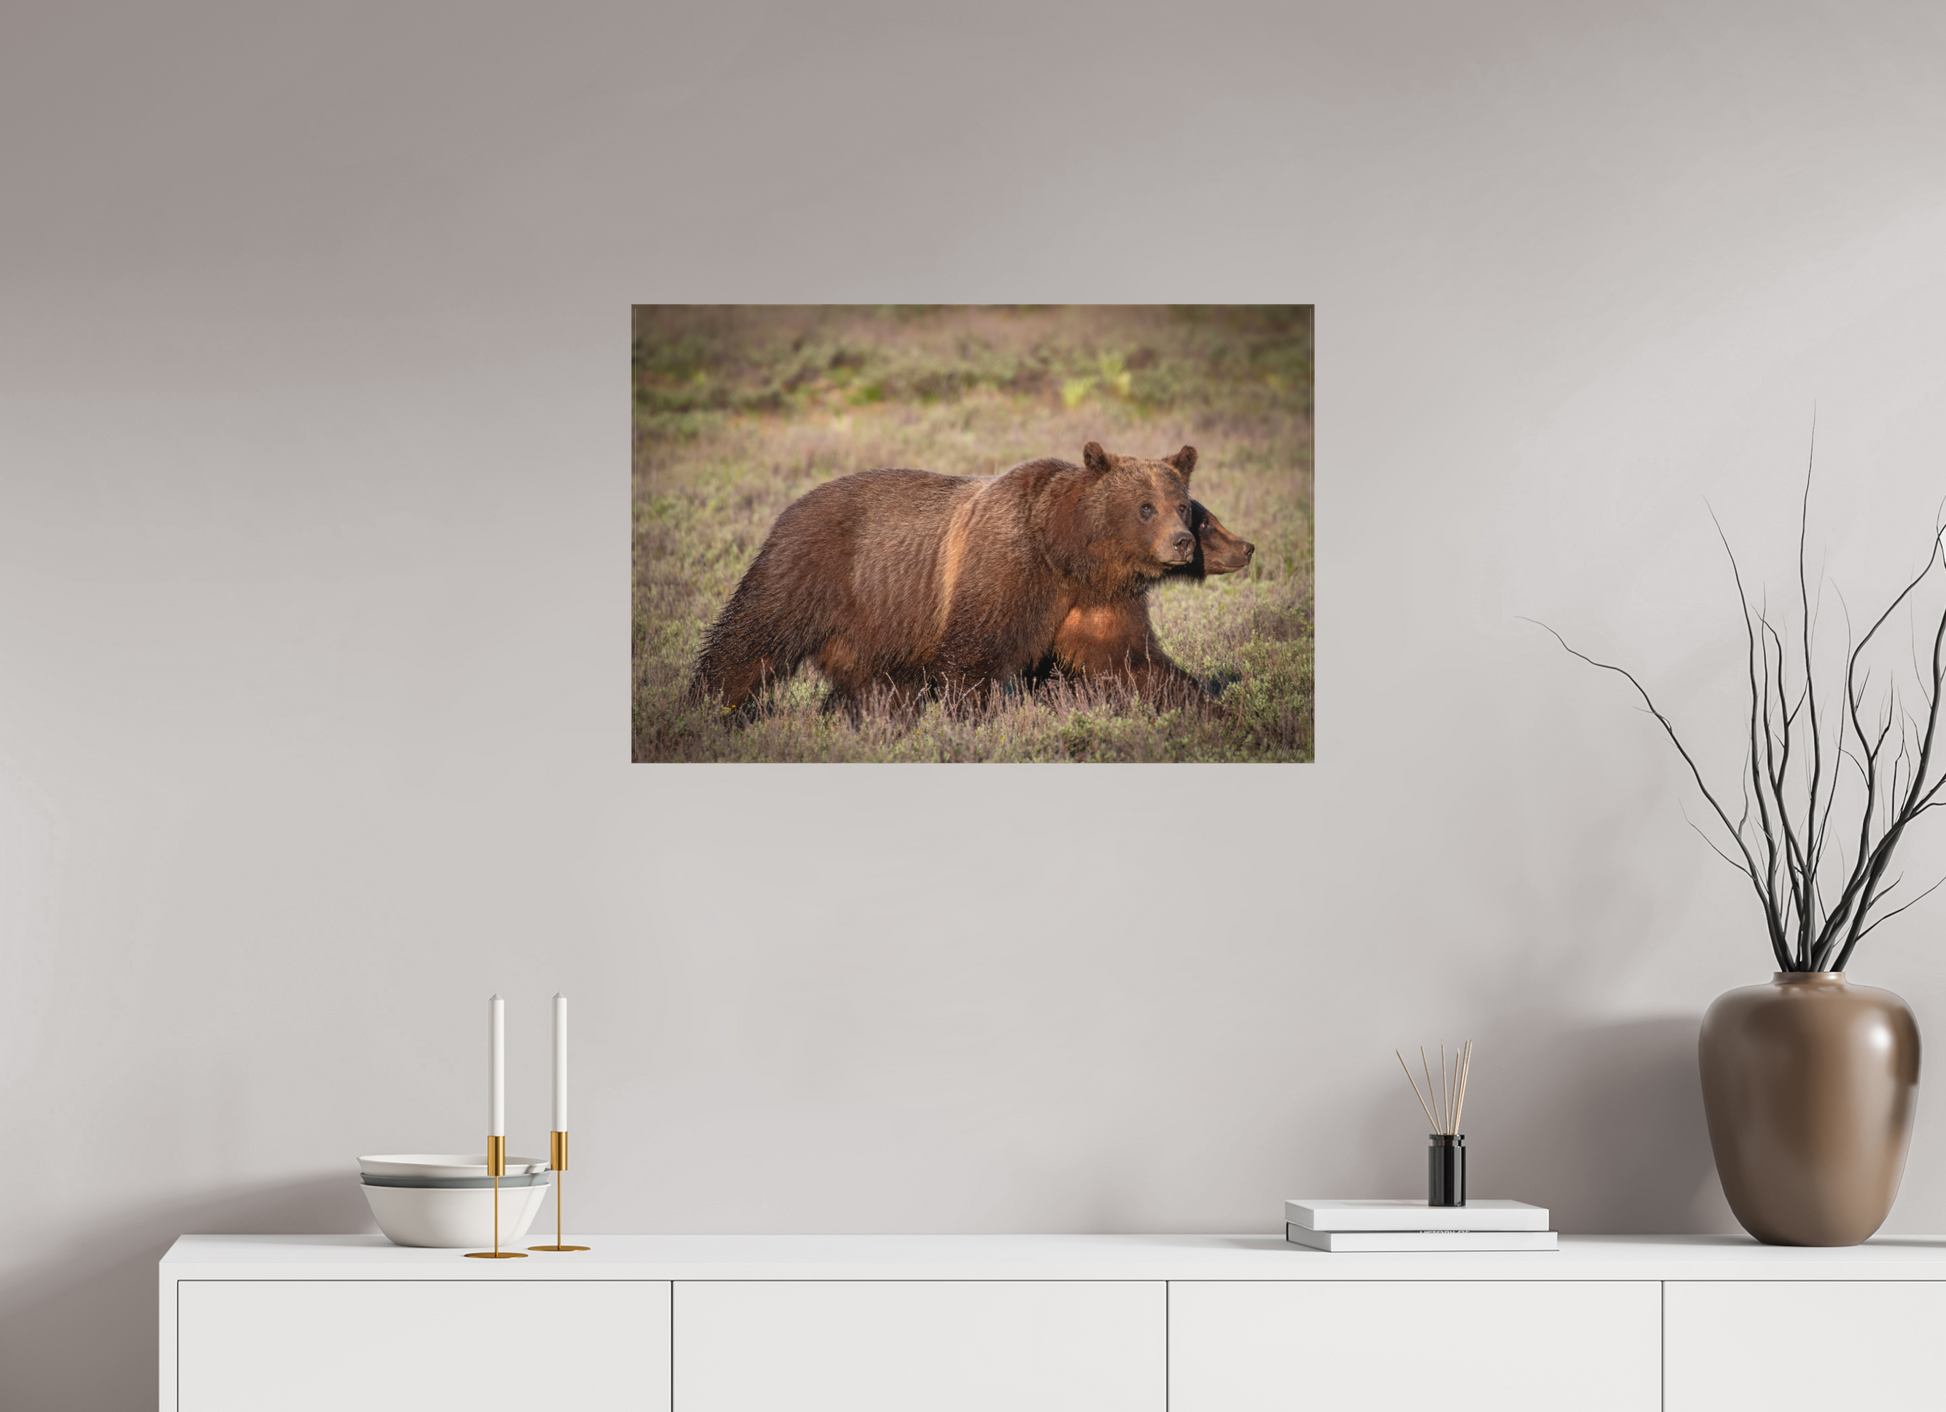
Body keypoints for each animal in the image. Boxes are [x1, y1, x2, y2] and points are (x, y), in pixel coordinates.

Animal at [688, 442, 1199, 713]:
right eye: (1145, 507)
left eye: (1182, 505)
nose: (1183, 542)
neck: (1068, 554)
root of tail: (791, 506)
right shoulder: (1007, 570)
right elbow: (972, 658)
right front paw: (976, 717)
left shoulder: (1097, 602)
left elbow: (1134, 662)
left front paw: (1199, 703)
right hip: (809, 569)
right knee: (751, 639)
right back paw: (709, 707)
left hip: (872, 627)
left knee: (874, 685)